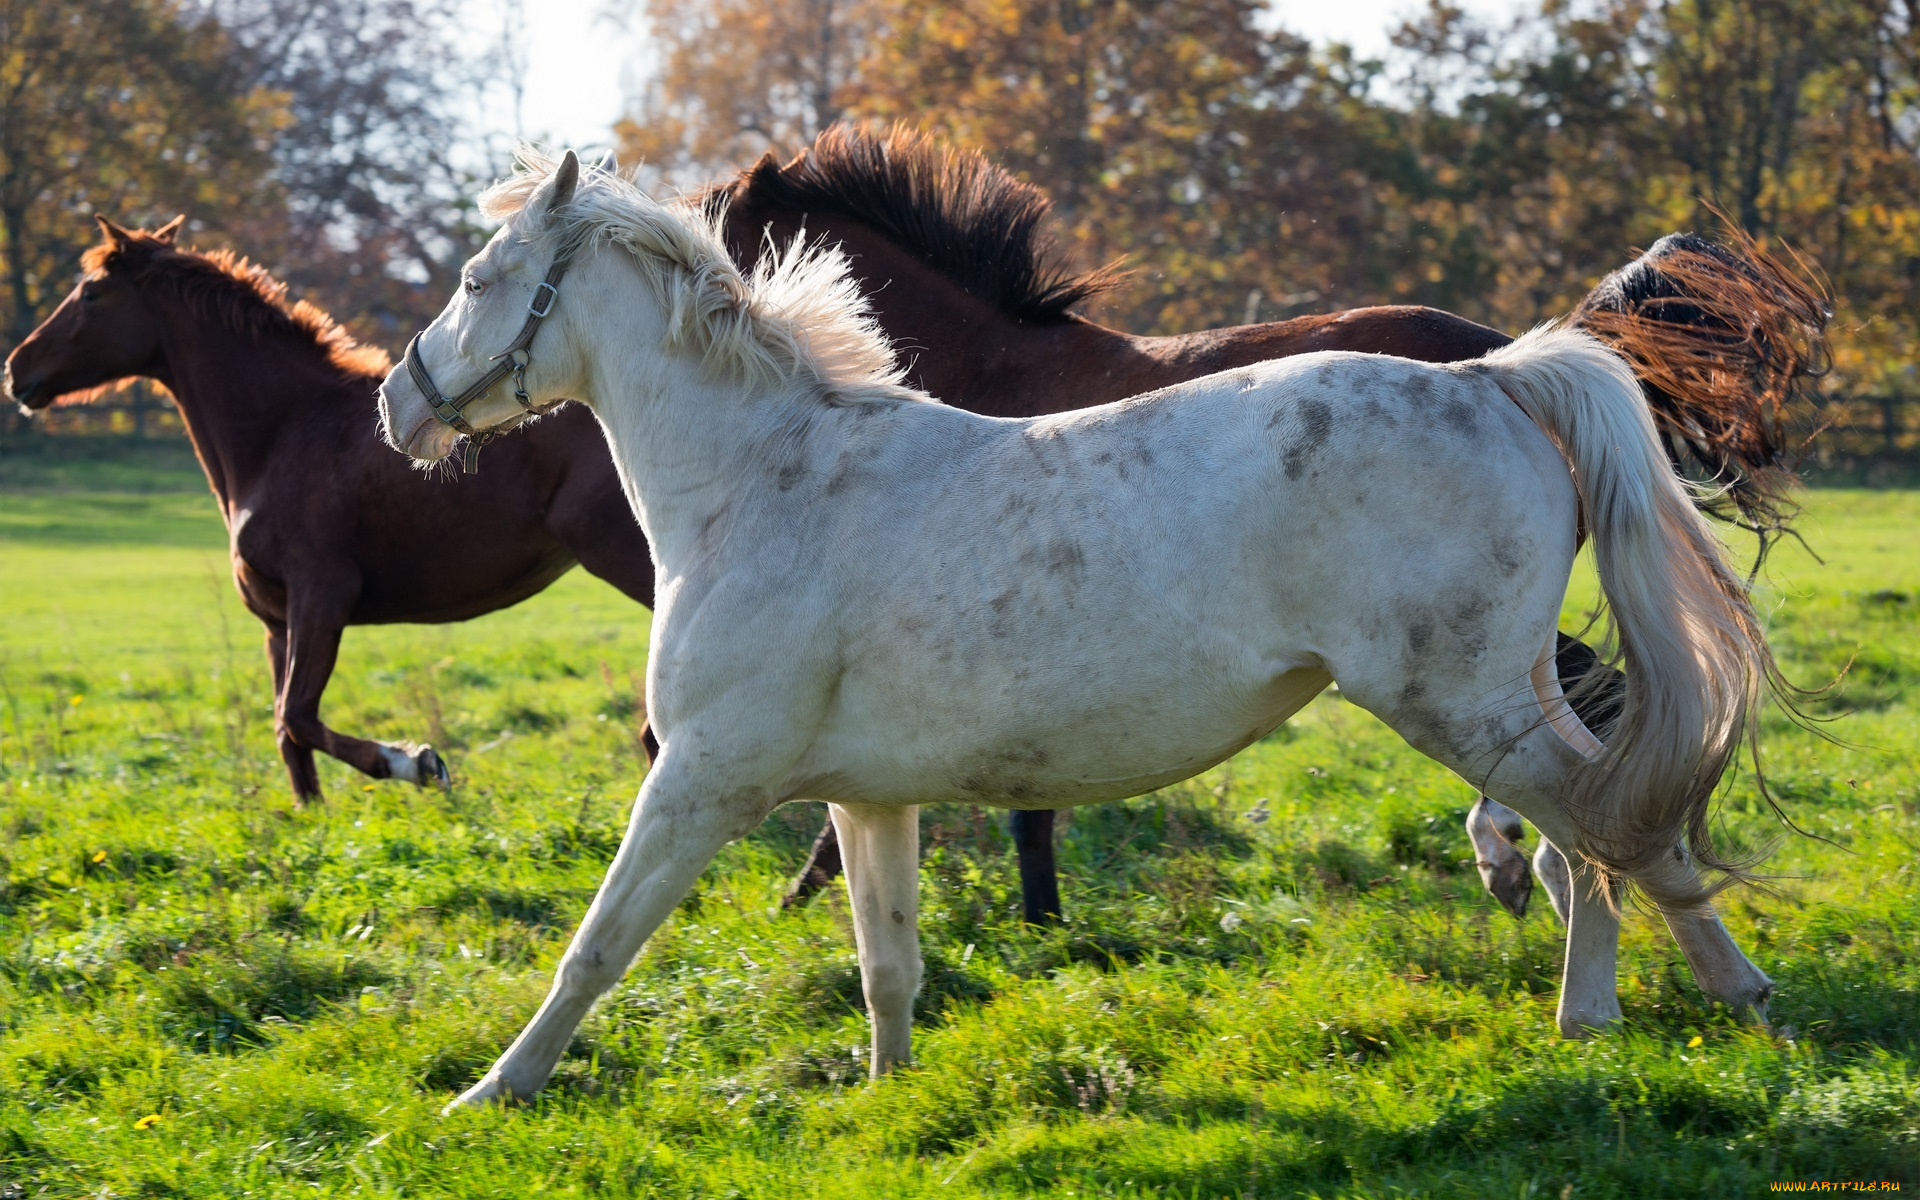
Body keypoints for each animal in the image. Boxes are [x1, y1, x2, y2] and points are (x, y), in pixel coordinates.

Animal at [374, 154, 1781, 1105]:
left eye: (480, 280)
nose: (400, 404)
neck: (764, 481)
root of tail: (1494, 377)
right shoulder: (867, 798)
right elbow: (888, 965)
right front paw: (890, 1100)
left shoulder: (700, 780)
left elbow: (594, 950)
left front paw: (487, 1093)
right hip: (1503, 698)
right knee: (1599, 826)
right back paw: (1596, 1020)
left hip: (1470, 708)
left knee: (1615, 825)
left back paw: (1724, 1002)